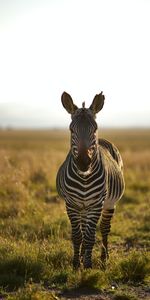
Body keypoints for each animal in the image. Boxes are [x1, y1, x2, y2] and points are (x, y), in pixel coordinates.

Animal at [56, 91, 124, 270]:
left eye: (95, 129)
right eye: (71, 130)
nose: (83, 162)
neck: (84, 178)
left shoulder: (97, 204)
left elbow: (89, 237)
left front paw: (87, 265)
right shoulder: (71, 204)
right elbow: (77, 235)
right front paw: (76, 263)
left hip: (108, 204)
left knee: (104, 228)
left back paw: (104, 257)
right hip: (82, 207)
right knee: (83, 228)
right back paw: (81, 255)